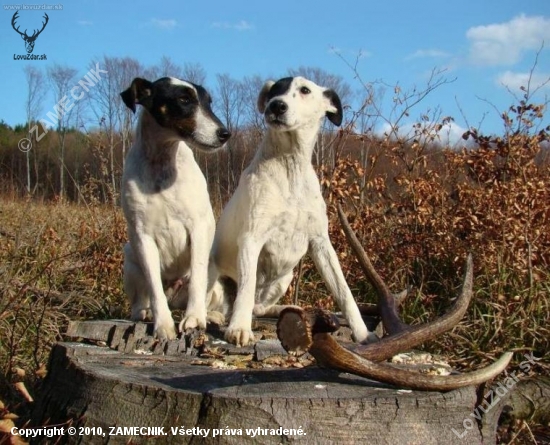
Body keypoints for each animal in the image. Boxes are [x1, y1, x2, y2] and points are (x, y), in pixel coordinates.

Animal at [121, 76, 231, 338]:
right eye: (183, 100)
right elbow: (154, 287)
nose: (225, 134)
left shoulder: (198, 229)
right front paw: (163, 325)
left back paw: (210, 315)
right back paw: (144, 312)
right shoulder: (142, 237)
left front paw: (194, 319)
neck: (163, 163)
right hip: (130, 257)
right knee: (142, 300)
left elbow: (198, 281)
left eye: (208, 102)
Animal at [211, 75, 376, 346]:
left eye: (305, 90)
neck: (290, 166)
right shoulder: (251, 239)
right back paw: (215, 316)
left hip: (284, 278)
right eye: (274, 92)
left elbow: (344, 292)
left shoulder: (321, 244)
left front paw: (363, 333)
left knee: (258, 306)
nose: (276, 106)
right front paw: (239, 328)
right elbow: (246, 288)